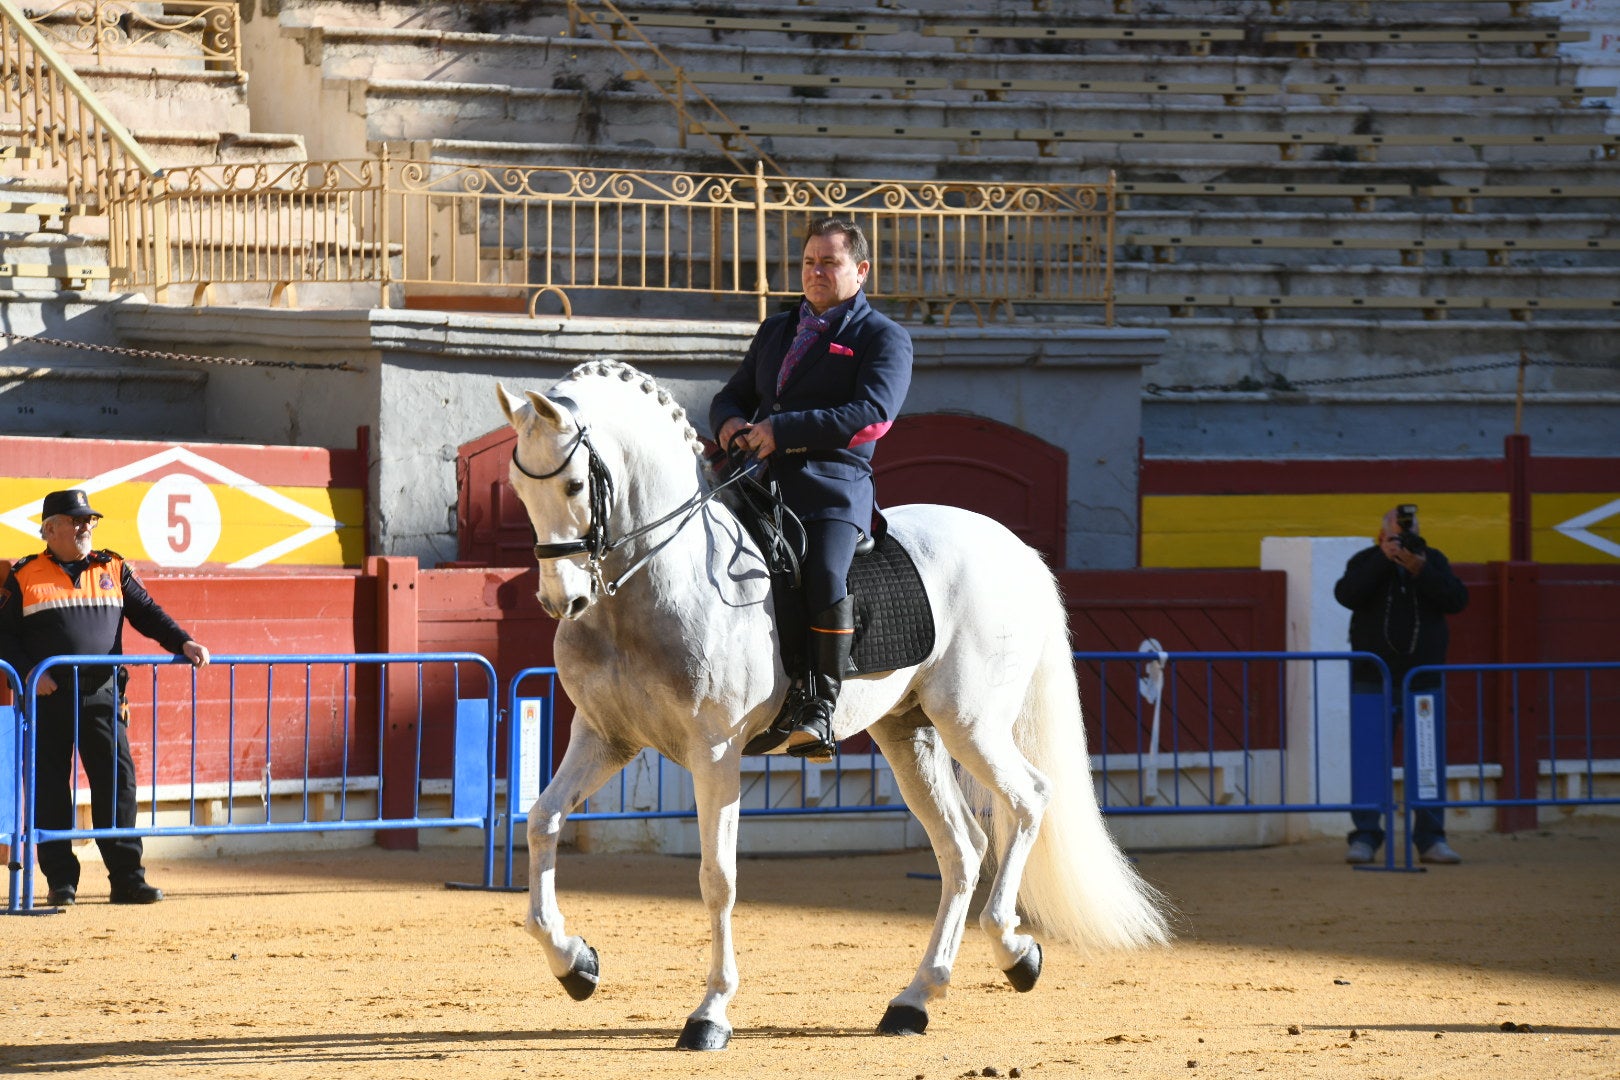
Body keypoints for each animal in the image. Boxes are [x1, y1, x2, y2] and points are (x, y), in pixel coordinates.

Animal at [498, 361, 1172, 1049]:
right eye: (518, 490)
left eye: (576, 483)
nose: (562, 601)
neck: (661, 580)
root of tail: (1017, 549)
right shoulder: (605, 738)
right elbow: (542, 820)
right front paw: (575, 963)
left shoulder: (715, 752)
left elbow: (718, 879)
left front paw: (710, 1012)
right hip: (909, 736)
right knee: (962, 847)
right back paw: (915, 999)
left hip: (971, 724)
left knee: (1029, 799)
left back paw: (1014, 951)